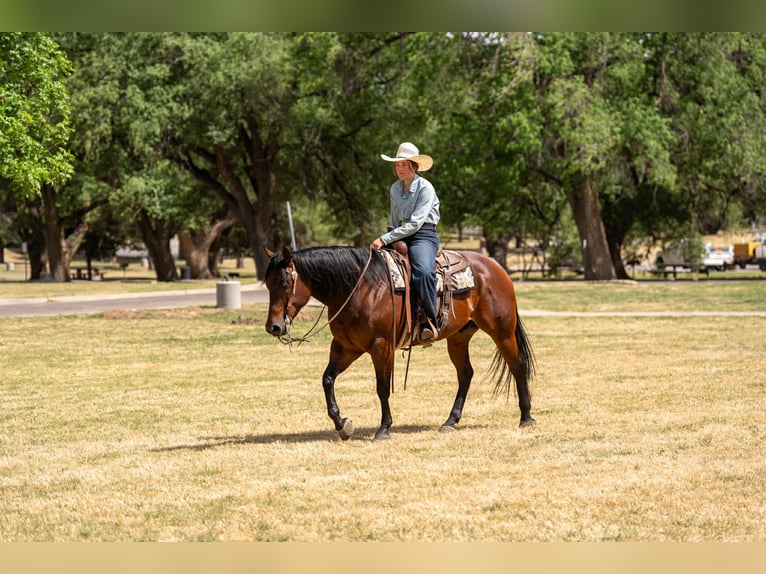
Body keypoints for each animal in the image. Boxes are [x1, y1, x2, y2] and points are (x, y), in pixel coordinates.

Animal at [263, 245, 536, 441]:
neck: (360, 288)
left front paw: (384, 429)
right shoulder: (346, 347)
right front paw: (343, 425)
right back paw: (450, 421)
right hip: (459, 338)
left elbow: (382, 388)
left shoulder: (381, 347)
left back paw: (526, 417)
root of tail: (495, 267)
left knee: (517, 365)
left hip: (502, 331)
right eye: (267, 284)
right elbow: (327, 379)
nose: (273, 327)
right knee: (466, 374)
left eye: (285, 283)